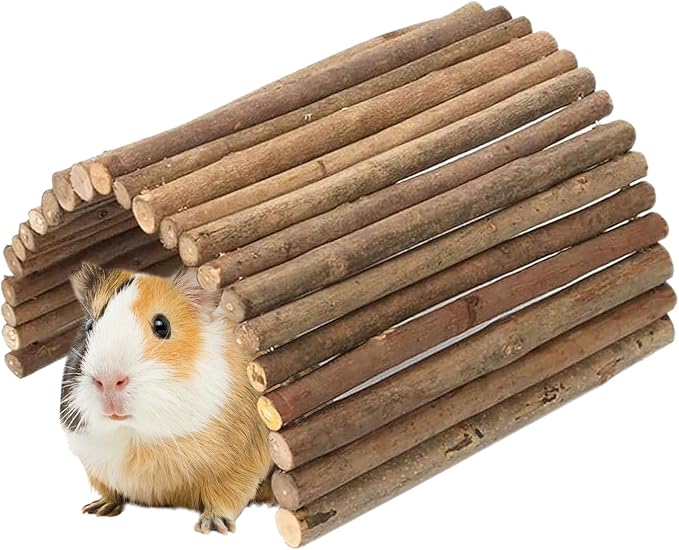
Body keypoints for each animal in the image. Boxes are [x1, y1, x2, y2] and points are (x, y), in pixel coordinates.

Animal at [60, 262, 274, 535]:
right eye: (89, 326)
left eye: (162, 325)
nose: (107, 380)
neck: (136, 437)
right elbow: (110, 492)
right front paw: (97, 509)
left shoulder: (239, 466)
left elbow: (225, 498)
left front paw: (212, 527)